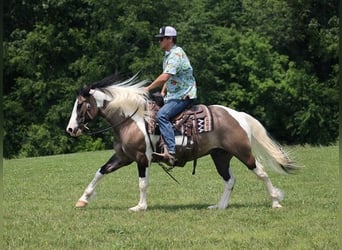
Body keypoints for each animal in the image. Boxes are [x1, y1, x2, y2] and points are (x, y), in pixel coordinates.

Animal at [66, 73, 296, 211]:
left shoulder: (142, 157)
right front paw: (82, 200)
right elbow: (100, 172)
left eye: (80, 105)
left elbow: (142, 183)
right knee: (230, 180)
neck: (132, 119)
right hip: (220, 156)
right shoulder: (123, 157)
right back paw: (219, 206)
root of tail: (237, 115)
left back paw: (276, 202)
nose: (70, 129)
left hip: (243, 152)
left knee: (261, 172)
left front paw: (140, 206)